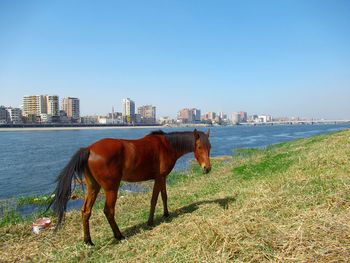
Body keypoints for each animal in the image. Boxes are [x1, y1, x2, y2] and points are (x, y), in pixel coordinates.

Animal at [47, 129, 212, 246]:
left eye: (209, 147)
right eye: (199, 146)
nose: (207, 168)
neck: (167, 145)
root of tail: (89, 149)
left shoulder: (163, 178)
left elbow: (164, 196)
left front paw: (166, 214)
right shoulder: (159, 178)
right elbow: (154, 199)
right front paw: (150, 222)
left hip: (93, 187)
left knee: (86, 211)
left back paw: (88, 241)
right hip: (111, 188)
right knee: (108, 211)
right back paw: (119, 235)